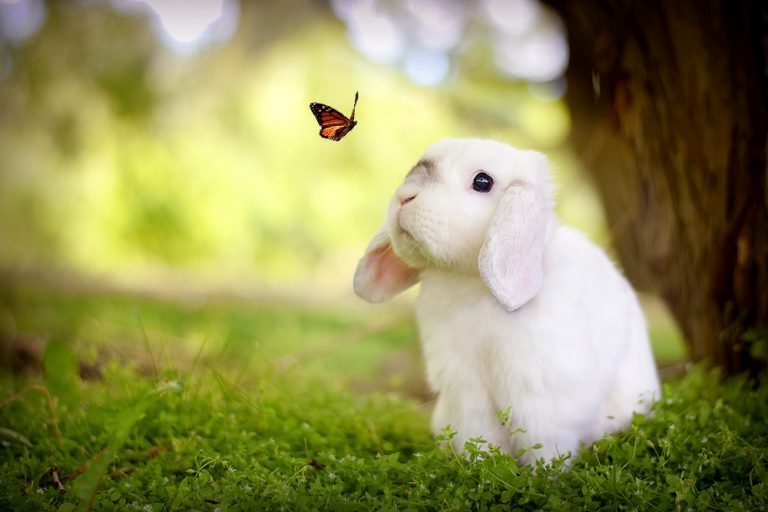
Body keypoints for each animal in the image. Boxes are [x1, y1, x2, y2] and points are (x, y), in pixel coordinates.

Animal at [353, 138, 661, 465]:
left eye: (482, 182)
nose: (404, 197)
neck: (471, 285)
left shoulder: (537, 395)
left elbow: (544, 445)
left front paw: (545, 475)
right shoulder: (467, 393)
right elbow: (478, 439)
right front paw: (481, 469)